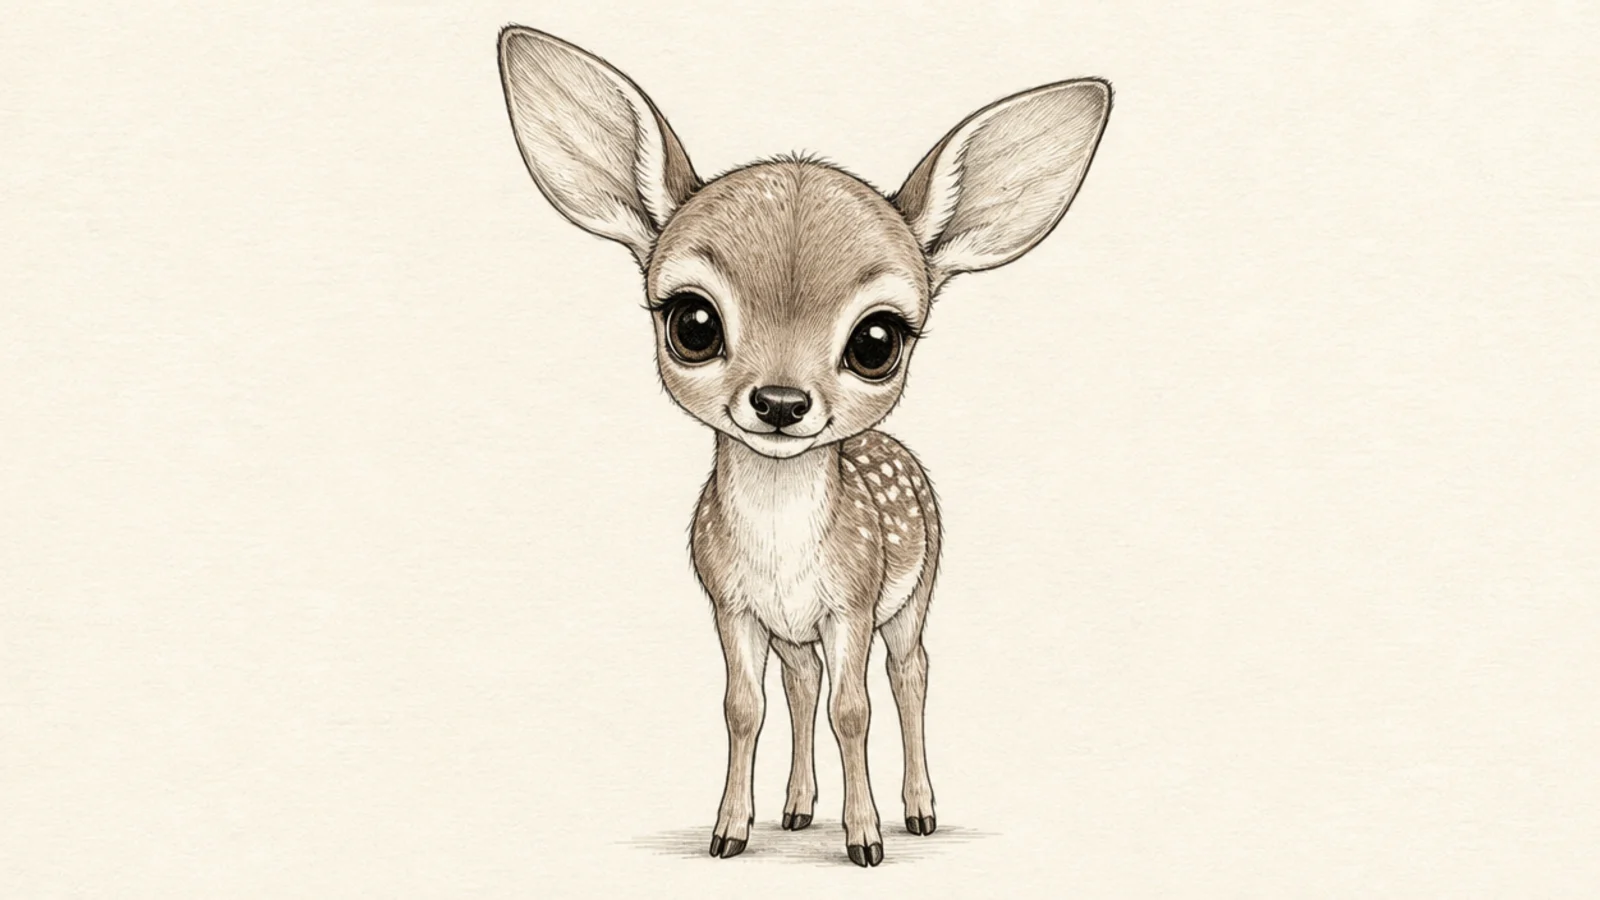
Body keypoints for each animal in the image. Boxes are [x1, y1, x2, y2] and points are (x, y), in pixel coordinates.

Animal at [496, 26, 1111, 868]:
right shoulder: (733, 604)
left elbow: (856, 709)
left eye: (878, 340)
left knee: (910, 673)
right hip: (796, 633)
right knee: (802, 684)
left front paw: (866, 840)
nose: (781, 403)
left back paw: (918, 810)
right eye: (692, 322)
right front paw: (729, 832)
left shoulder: (853, 600)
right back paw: (793, 810)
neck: (781, 546)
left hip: (916, 592)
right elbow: (743, 706)